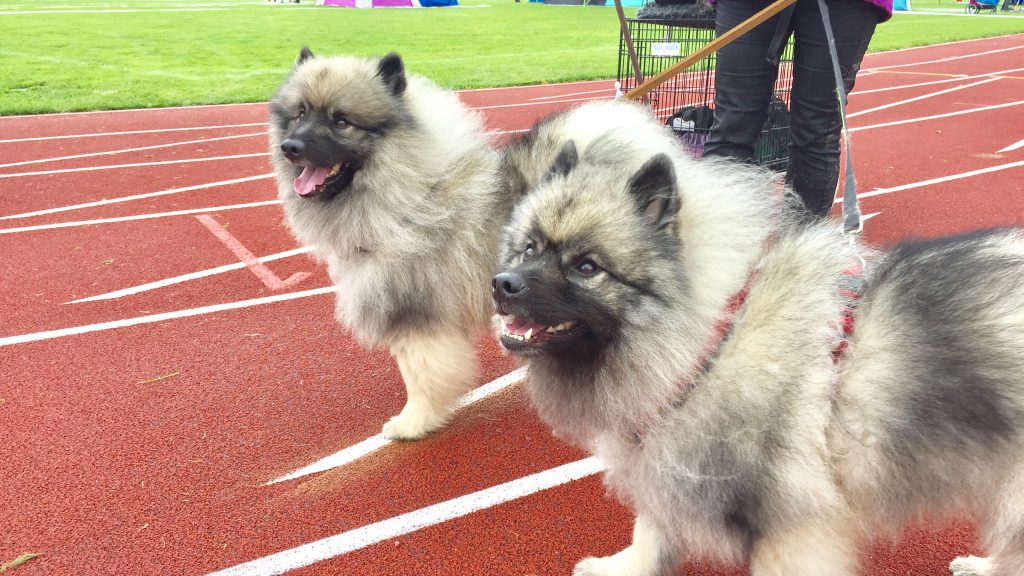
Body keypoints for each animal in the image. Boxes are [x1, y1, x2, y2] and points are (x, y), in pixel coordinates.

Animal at [268, 49, 516, 439]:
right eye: (300, 114)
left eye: (341, 121)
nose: (291, 147)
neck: (414, 197)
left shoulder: (415, 312)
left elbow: (420, 376)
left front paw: (413, 422)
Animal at [492, 100, 1024, 576]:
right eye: (529, 248)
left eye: (587, 267)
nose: (503, 284)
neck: (712, 341)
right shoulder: (667, 468)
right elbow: (650, 533)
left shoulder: (795, 529)